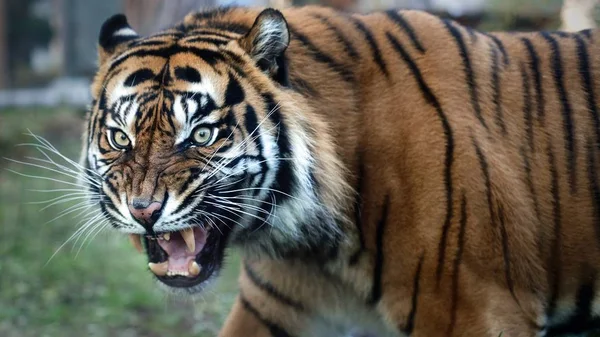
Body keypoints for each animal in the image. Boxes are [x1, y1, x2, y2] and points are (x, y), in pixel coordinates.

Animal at [79, 3, 600, 336]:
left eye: (202, 135)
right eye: (120, 137)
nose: (143, 211)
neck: (312, 243)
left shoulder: (471, 309)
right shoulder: (274, 309)